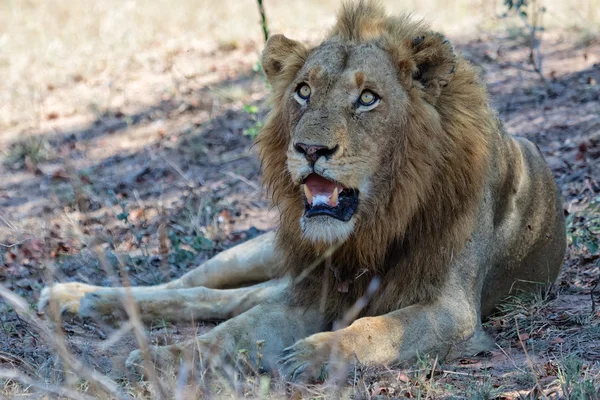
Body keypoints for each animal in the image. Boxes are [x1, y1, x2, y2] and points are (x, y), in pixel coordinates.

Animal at [38, 0, 568, 382]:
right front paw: (173, 359)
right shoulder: (305, 295)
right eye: (304, 91)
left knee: (222, 300)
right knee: (192, 288)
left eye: (368, 98)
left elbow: (374, 328)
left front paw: (312, 354)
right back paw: (77, 297)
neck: (373, 225)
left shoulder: (452, 310)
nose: (310, 149)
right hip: (255, 254)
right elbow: (229, 334)